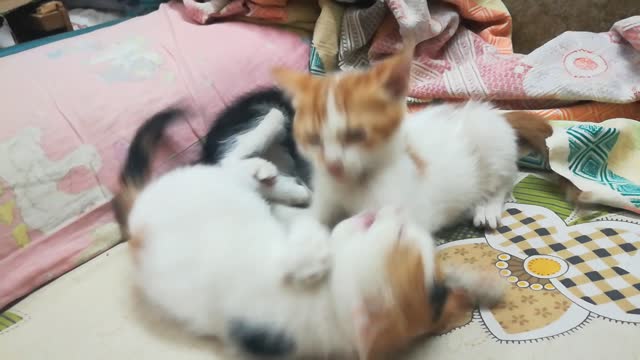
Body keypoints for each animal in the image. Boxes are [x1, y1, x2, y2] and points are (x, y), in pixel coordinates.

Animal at [115, 110, 504, 360]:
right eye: (401, 232)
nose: (393, 212)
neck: (327, 303)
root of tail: (135, 217)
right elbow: (312, 225)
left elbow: (305, 243)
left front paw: (313, 252)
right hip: (214, 183)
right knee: (227, 163)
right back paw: (273, 150)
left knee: (227, 168)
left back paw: (275, 175)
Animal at [272, 50, 552, 231]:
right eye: (313, 139)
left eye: (356, 135)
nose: (333, 165)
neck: (354, 183)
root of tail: (493, 111)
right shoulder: (326, 200)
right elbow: (312, 219)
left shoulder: (407, 214)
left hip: (488, 136)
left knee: (506, 178)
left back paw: (487, 206)